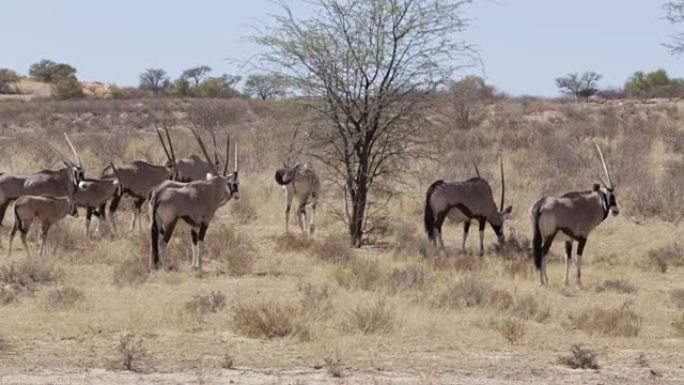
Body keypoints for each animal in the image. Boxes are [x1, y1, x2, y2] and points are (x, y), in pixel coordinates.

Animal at [149, 127, 238, 268]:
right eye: (228, 183)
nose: (232, 195)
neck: (209, 191)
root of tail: (158, 196)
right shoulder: (204, 222)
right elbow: (200, 242)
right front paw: (200, 267)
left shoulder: (194, 225)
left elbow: (193, 244)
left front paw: (193, 266)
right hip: (169, 224)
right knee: (162, 243)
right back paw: (166, 267)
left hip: (157, 224)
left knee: (155, 242)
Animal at [528, 144, 620, 284]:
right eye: (608, 195)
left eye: (613, 194)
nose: (615, 211)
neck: (586, 205)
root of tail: (540, 205)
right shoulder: (583, 237)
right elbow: (578, 258)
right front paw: (578, 282)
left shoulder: (569, 239)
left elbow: (568, 259)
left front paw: (565, 281)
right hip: (549, 235)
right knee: (543, 252)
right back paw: (543, 280)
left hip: (539, 234)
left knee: (539, 252)